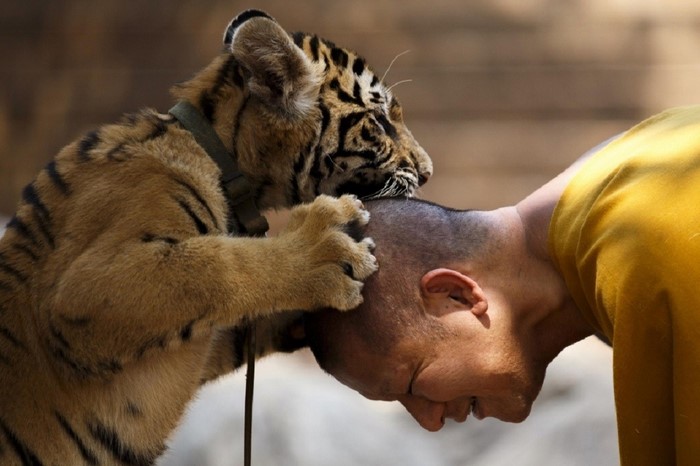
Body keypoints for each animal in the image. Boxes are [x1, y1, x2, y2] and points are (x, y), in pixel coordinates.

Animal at [0, 8, 432, 466]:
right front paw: (323, 249)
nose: (428, 172)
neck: (223, 157)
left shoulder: (204, 343)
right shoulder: (88, 288)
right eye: (380, 122)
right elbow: (218, 267)